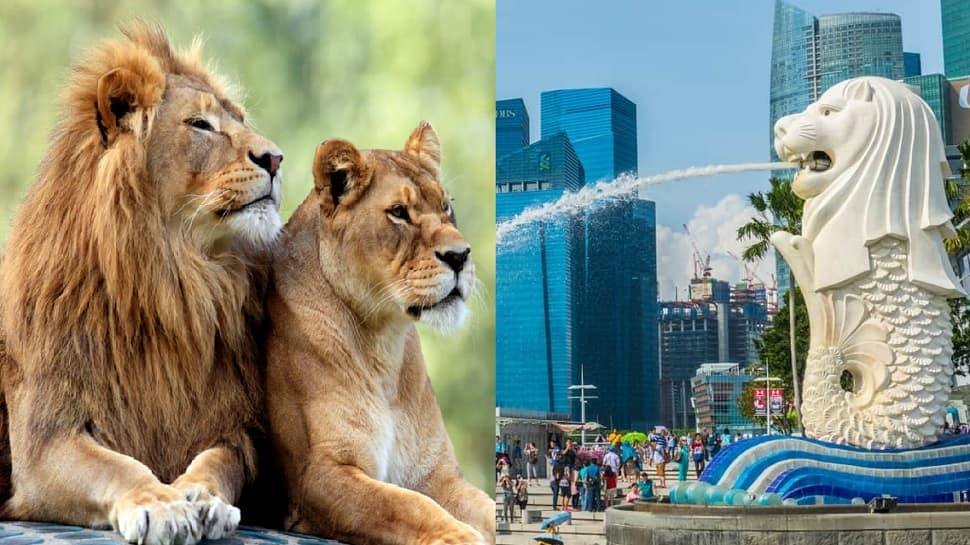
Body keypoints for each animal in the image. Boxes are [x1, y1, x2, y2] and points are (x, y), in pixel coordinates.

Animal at [0, 23, 284, 540]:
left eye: (240, 119)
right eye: (201, 125)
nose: (275, 158)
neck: (172, 282)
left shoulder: (234, 428)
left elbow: (218, 462)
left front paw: (202, 497)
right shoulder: (43, 441)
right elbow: (117, 466)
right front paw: (162, 505)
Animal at [264, 123, 492, 544]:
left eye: (446, 206)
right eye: (398, 213)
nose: (460, 256)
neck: (383, 342)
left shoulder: (436, 474)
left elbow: (484, 506)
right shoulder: (319, 475)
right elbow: (406, 504)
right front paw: (462, 536)